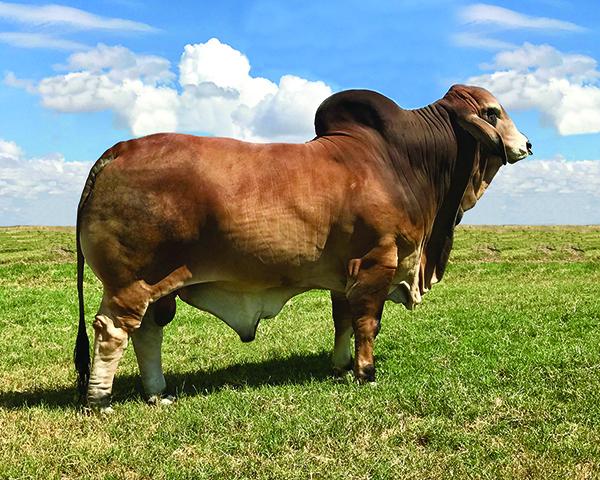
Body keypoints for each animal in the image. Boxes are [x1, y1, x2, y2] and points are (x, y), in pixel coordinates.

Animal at [74, 84, 528, 406]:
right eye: (492, 112)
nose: (526, 144)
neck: (403, 161)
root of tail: (117, 151)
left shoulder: (345, 275)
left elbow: (343, 320)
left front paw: (341, 366)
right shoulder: (376, 262)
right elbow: (368, 322)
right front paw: (366, 372)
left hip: (156, 284)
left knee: (148, 331)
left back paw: (157, 392)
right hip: (130, 282)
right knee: (113, 330)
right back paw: (101, 399)